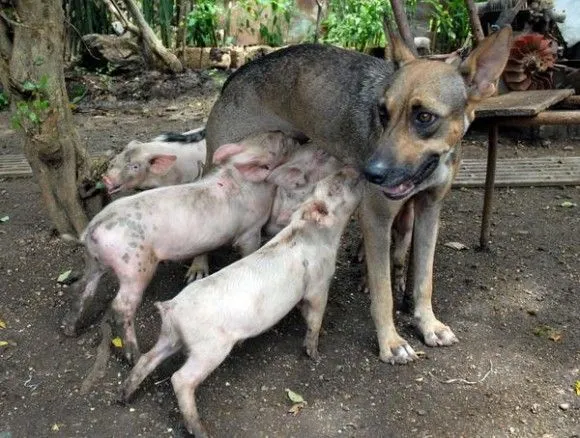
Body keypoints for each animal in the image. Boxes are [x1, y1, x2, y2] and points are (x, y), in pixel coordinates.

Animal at [204, 26, 512, 362]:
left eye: (425, 117)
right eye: (383, 113)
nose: (371, 173)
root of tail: (241, 71)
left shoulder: (429, 212)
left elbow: (424, 280)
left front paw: (427, 323)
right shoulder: (376, 217)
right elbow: (383, 292)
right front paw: (390, 341)